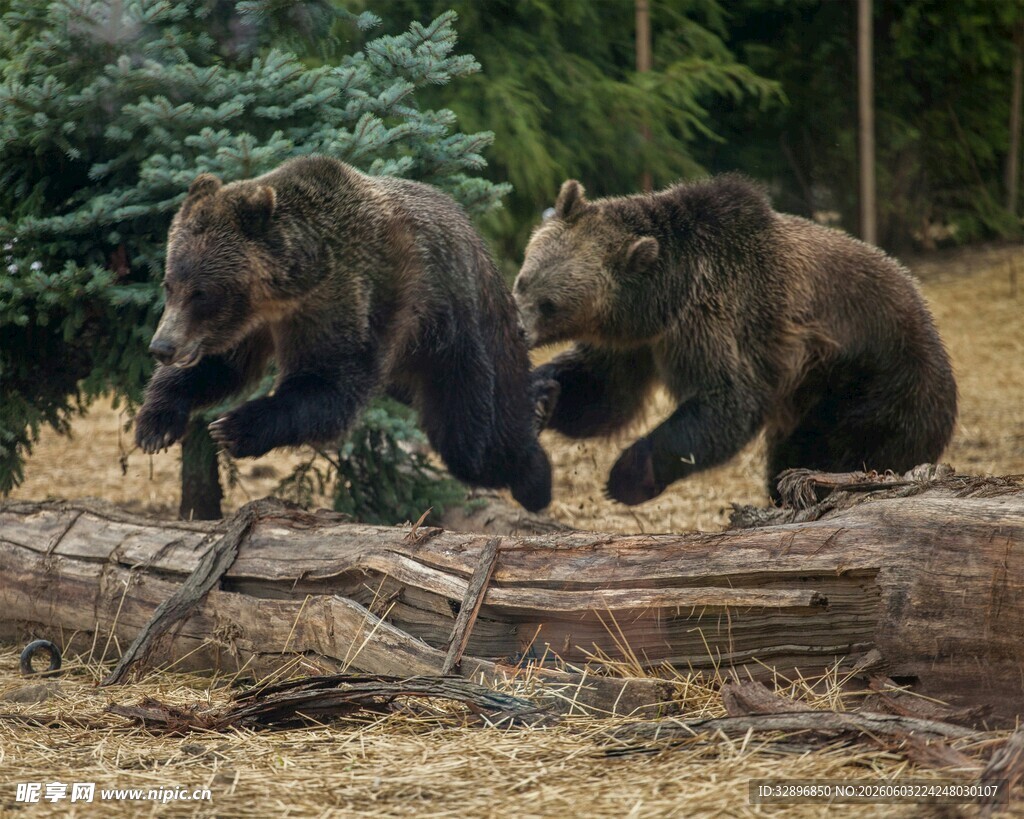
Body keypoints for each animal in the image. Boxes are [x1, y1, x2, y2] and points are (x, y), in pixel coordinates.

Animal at [135, 155, 552, 512]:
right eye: (169, 284)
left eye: (201, 293)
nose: (162, 347)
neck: (286, 293)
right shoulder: (249, 326)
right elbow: (221, 367)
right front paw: (156, 424)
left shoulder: (344, 299)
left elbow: (331, 384)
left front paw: (233, 427)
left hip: (461, 331)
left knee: (471, 436)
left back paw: (536, 473)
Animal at [514, 175, 957, 505]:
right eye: (523, 280)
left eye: (550, 305)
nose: (518, 329)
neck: (662, 298)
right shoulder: (636, 343)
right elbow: (604, 393)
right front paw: (540, 395)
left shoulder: (717, 319)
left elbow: (728, 402)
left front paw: (626, 476)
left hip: (874, 389)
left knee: (841, 451)